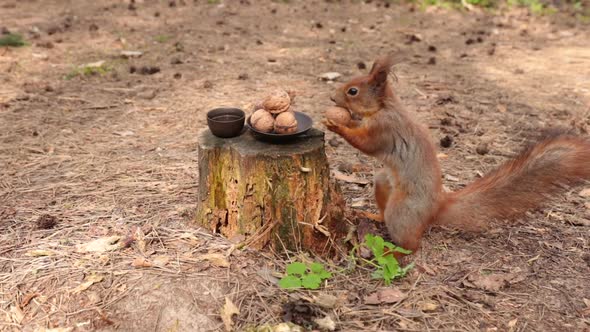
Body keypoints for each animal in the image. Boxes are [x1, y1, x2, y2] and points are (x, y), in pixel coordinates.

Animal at [326, 55, 590, 256]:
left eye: (352, 91)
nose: (332, 98)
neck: (384, 107)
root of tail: (437, 206)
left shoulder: (385, 129)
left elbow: (366, 144)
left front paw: (336, 125)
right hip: (384, 183)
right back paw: (372, 215)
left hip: (402, 211)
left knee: (412, 244)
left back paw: (394, 251)